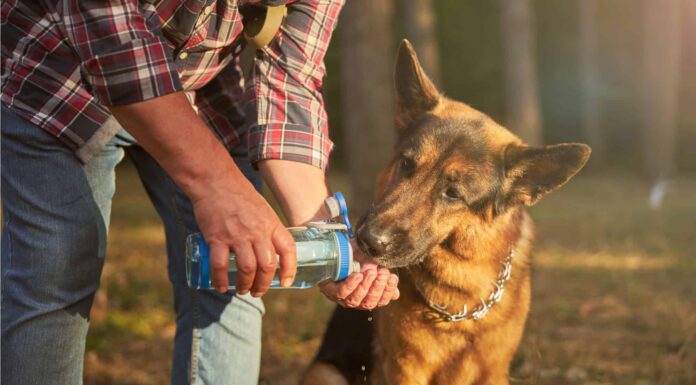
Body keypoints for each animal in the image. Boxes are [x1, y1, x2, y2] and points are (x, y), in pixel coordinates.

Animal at [302, 41, 588, 384]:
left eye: (453, 193)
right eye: (406, 163)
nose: (367, 240)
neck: (460, 298)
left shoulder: (494, 372)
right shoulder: (405, 368)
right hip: (325, 372)